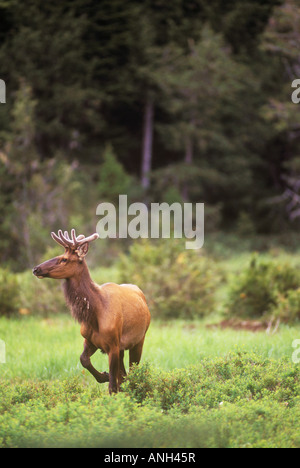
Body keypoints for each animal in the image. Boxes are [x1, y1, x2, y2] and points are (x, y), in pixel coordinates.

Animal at [32, 229, 150, 394]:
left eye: (64, 259)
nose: (36, 269)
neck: (94, 315)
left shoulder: (113, 344)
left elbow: (112, 385)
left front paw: (109, 384)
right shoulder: (90, 340)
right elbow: (84, 360)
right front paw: (103, 376)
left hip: (139, 340)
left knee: (133, 370)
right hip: (123, 347)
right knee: (124, 375)